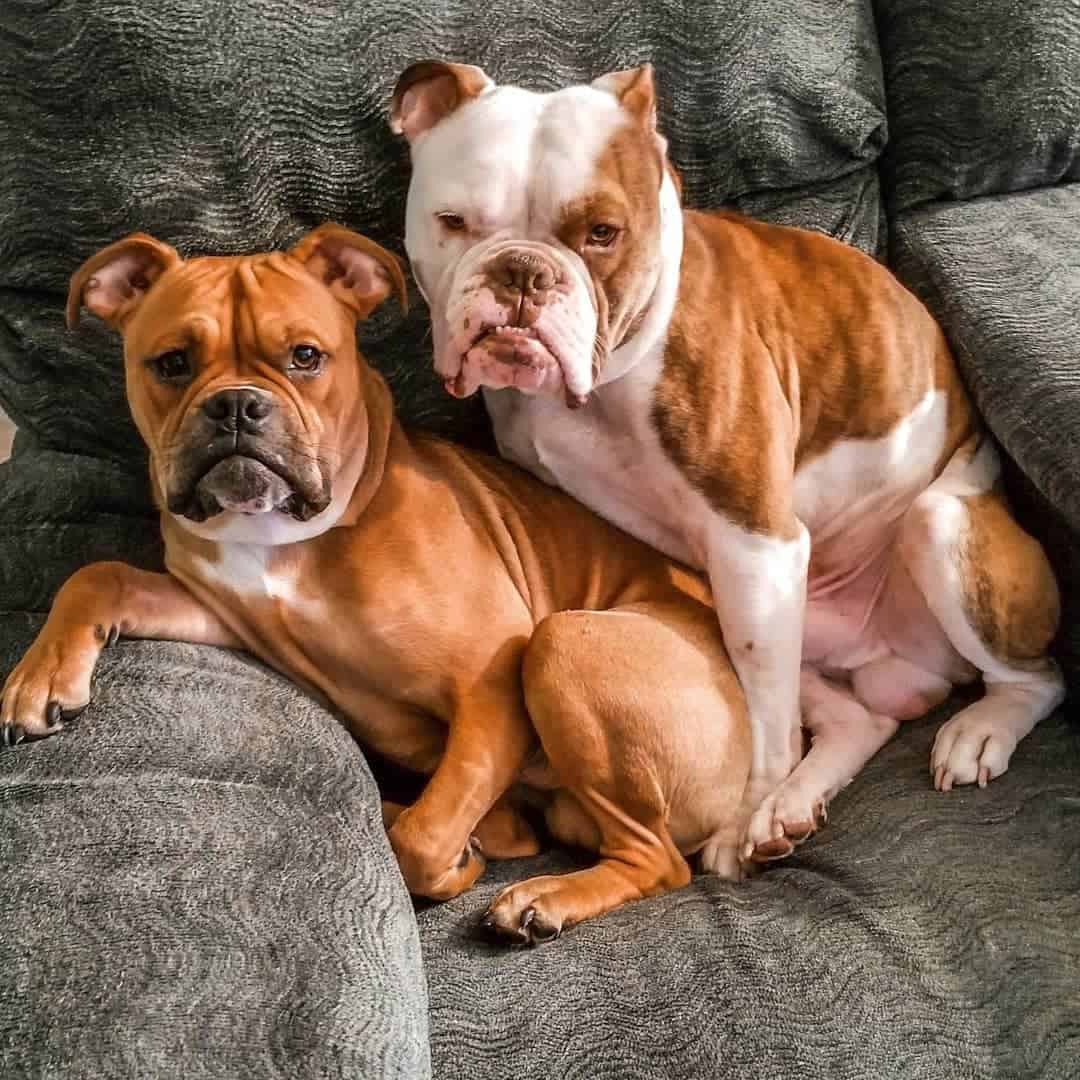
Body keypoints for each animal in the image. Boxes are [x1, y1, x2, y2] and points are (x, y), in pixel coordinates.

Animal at [2, 227, 751, 946]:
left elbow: (424, 838)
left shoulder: (487, 689)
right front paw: (38, 678)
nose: (237, 405)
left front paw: (453, 857)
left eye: (306, 356)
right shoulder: (213, 607)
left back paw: (543, 897)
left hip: (565, 643)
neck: (288, 531)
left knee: (656, 859)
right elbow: (99, 573)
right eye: (172, 363)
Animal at [395, 63, 1062, 864]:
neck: (611, 378)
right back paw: (794, 807)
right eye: (454, 221)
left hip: (925, 532)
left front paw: (740, 822)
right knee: (858, 718)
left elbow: (765, 732)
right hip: (772, 609)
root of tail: (909, 667)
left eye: (602, 234)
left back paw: (973, 733)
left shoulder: (755, 542)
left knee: (1036, 679)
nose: (522, 271)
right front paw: (761, 814)